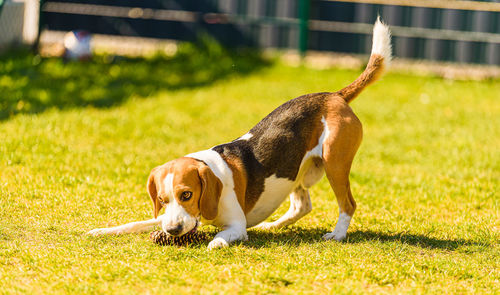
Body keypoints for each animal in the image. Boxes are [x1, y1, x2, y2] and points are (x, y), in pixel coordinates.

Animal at [88, 18, 392, 250]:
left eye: (186, 194)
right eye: (162, 200)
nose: (173, 230)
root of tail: (335, 96)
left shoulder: (236, 225)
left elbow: (224, 234)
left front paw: (215, 243)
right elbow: (134, 223)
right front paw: (102, 231)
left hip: (334, 164)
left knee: (347, 204)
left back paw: (337, 234)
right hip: (296, 168)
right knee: (301, 206)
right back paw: (273, 224)